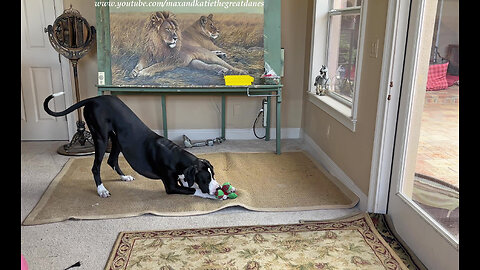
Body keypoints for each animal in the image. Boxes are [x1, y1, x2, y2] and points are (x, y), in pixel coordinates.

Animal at [43, 93, 219, 198]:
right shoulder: (171, 187)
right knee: (96, 167)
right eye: (206, 178)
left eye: (214, 175)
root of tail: (94, 98)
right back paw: (101, 190)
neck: (174, 156)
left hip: (117, 140)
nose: (217, 188)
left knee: (112, 160)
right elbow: (194, 189)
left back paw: (124, 177)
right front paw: (210, 194)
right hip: (101, 138)